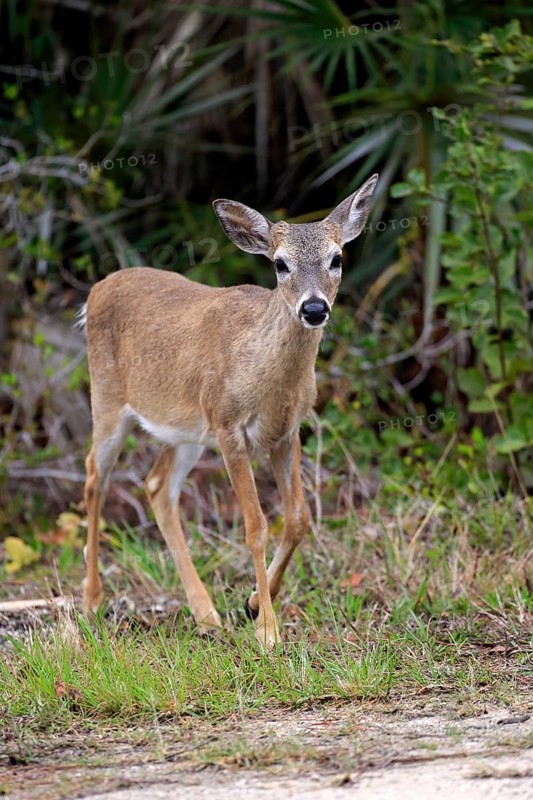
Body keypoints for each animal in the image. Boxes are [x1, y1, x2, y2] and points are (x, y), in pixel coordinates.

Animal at [80, 174, 378, 650]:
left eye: (337, 258)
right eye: (279, 265)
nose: (314, 308)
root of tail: (95, 290)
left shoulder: (287, 432)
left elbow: (298, 519)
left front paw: (255, 602)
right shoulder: (229, 427)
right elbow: (256, 527)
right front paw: (268, 631)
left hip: (186, 429)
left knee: (157, 486)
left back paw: (206, 615)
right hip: (108, 400)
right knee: (95, 477)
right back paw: (92, 601)